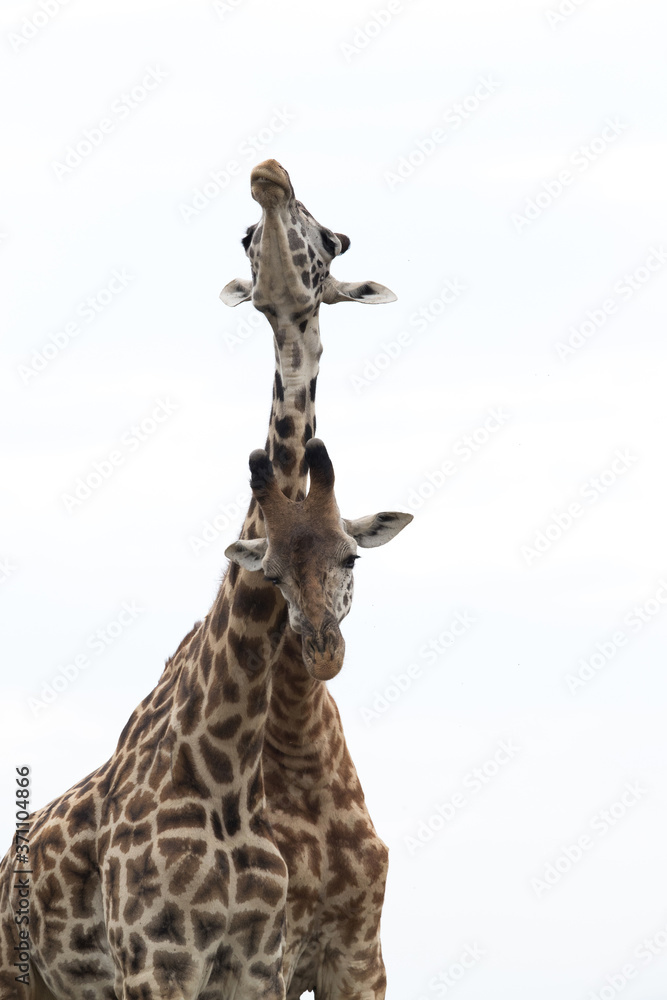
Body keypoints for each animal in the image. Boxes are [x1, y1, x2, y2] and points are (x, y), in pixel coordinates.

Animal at [0, 439, 410, 1000]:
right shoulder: (161, 962)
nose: (323, 650)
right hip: (17, 974)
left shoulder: (341, 956)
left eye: (351, 557)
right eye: (272, 574)